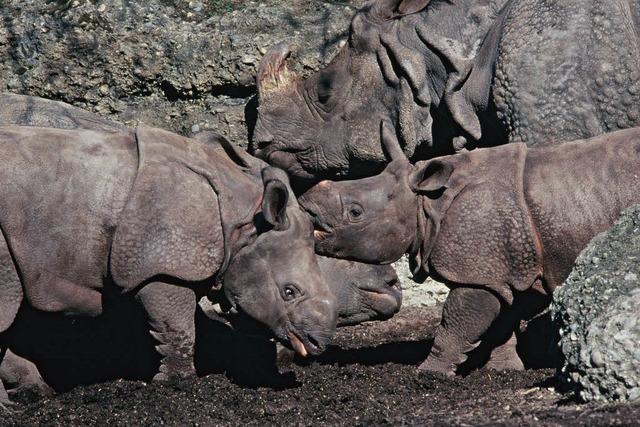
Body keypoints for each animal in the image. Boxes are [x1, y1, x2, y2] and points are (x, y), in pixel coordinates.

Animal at [0, 124, 340, 408]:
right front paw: (174, 383)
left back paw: (35, 393)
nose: (317, 345)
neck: (241, 222)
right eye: (289, 291)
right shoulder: (165, 266)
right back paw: (12, 405)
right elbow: (178, 327)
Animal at [298, 123, 640, 374]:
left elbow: (456, 322)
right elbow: (501, 319)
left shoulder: (477, 271)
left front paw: (429, 374)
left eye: (355, 212)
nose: (305, 207)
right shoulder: (499, 268)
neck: (425, 204)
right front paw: (504, 371)